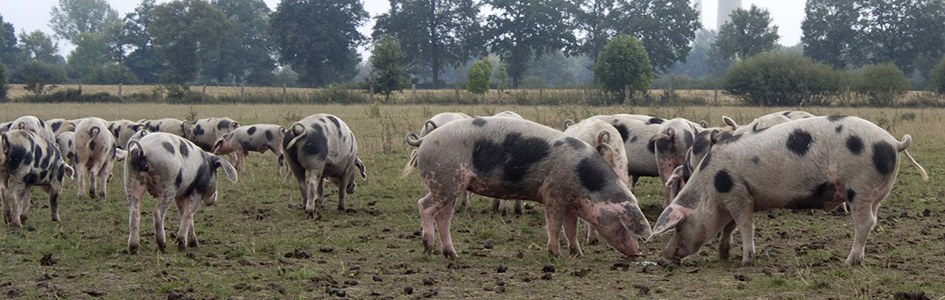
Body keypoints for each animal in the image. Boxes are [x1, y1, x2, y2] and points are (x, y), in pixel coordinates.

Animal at [406, 116, 648, 258]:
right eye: (626, 225)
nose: (638, 253)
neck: (585, 182)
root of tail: (423, 140)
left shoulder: (571, 202)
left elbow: (570, 228)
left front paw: (577, 254)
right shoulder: (553, 194)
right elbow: (554, 225)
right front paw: (554, 254)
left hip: (450, 186)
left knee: (443, 217)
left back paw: (452, 254)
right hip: (444, 181)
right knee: (424, 205)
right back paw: (428, 247)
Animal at [648, 116, 928, 266]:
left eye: (679, 226)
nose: (665, 255)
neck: (711, 185)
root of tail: (893, 142)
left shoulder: (737, 194)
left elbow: (745, 226)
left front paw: (746, 261)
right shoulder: (739, 196)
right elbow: (730, 227)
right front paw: (723, 255)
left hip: (860, 188)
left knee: (866, 222)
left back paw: (849, 262)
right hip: (877, 192)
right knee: (874, 219)